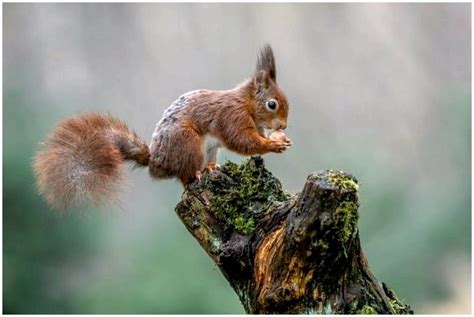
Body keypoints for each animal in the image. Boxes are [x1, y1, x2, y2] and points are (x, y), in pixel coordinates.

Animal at [33, 43, 290, 207]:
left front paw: (277, 139)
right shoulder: (231, 117)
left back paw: (211, 168)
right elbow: (242, 141)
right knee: (185, 178)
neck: (247, 104)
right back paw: (197, 174)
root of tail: (156, 162)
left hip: (208, 150)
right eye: (272, 104)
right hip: (188, 143)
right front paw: (272, 145)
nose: (284, 126)